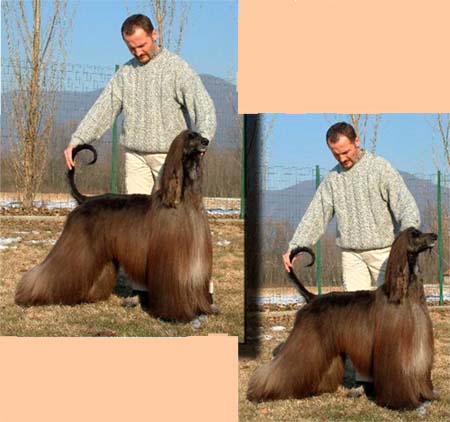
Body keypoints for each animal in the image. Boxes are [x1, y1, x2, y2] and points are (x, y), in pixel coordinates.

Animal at [15, 130, 216, 322]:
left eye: (199, 134)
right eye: (191, 137)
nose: (206, 141)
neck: (183, 200)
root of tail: (85, 199)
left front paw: (203, 308)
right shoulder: (171, 257)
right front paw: (177, 315)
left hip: (100, 251)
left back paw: (88, 296)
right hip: (78, 245)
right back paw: (31, 296)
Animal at [247, 228, 438, 410]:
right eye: (415, 234)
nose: (435, 236)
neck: (404, 293)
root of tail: (313, 297)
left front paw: (426, 395)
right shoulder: (393, 345)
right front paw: (402, 403)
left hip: (325, 345)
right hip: (308, 339)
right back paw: (261, 392)